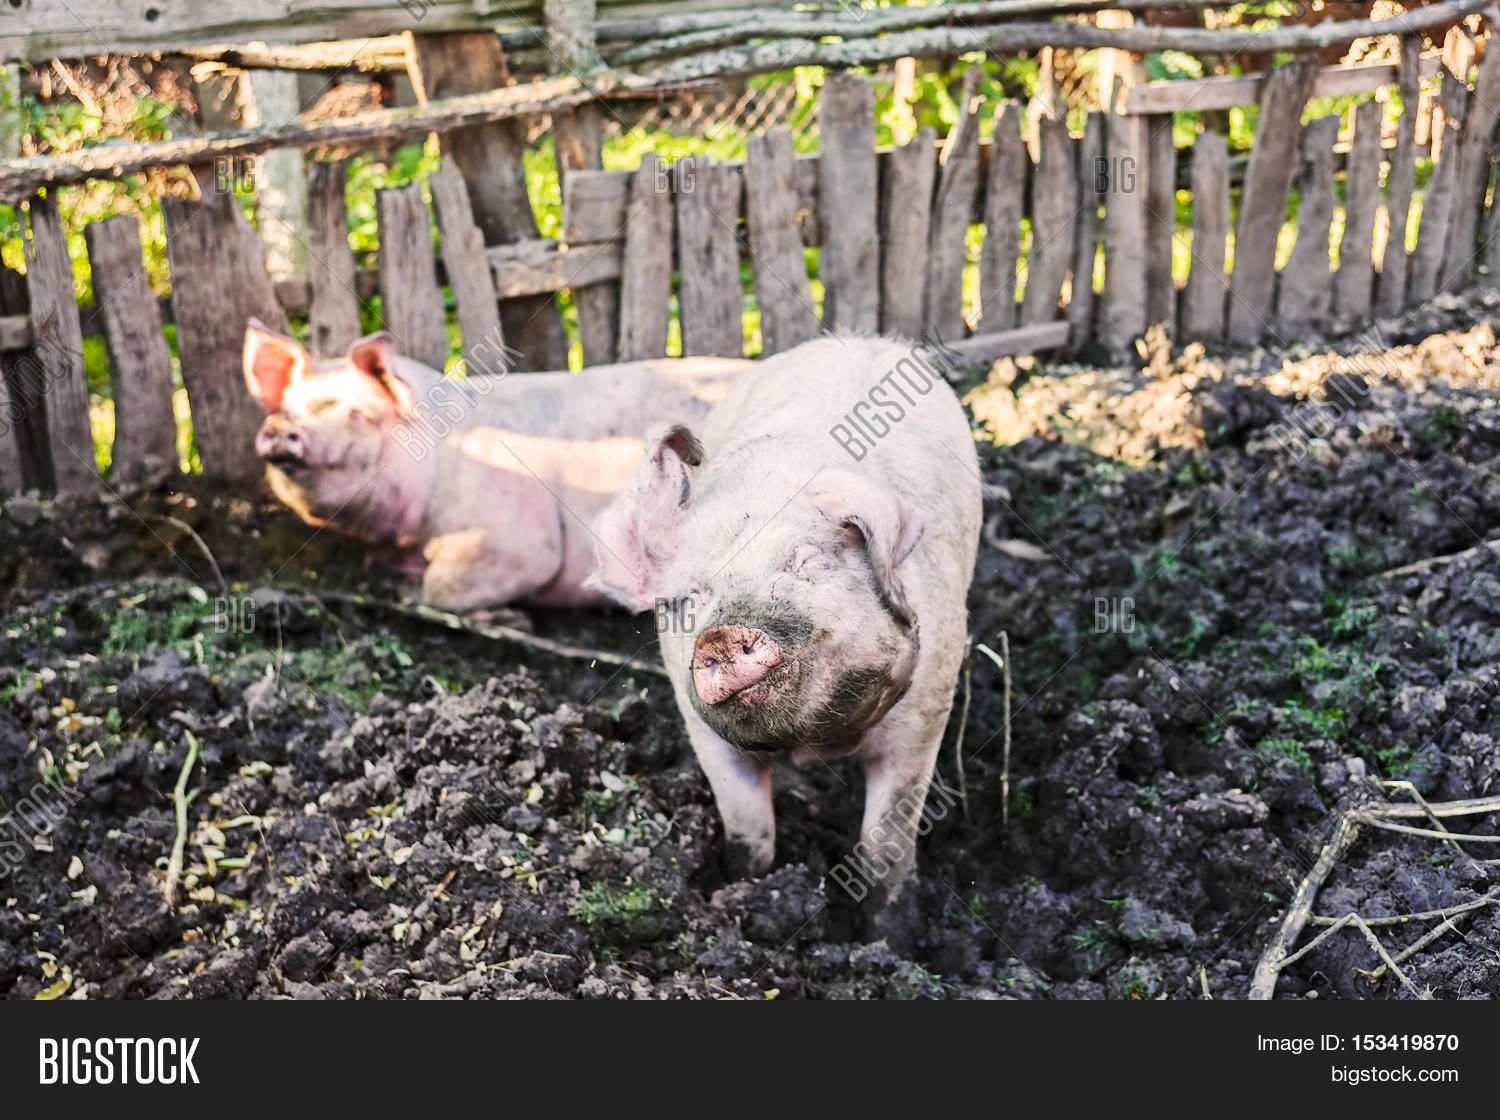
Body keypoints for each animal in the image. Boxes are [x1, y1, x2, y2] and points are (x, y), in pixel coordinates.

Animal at [242, 321, 751, 611]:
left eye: (360, 416)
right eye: (289, 408)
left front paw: (510, 618)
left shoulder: (519, 541)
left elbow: (442, 586)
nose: (283, 428)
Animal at [587, 336, 982, 921]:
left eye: (804, 561)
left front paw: (889, 929)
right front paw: (744, 888)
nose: (724, 634)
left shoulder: (927, 706)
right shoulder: (702, 729)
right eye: (692, 598)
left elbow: (888, 840)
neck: (815, 740)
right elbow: (748, 827)